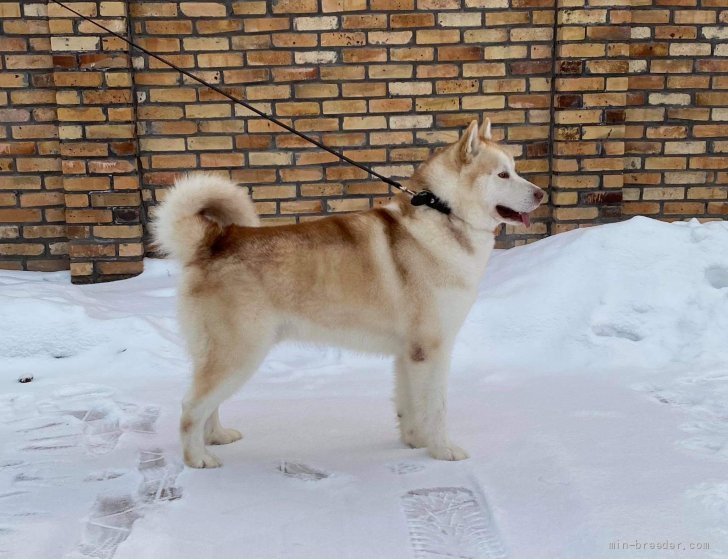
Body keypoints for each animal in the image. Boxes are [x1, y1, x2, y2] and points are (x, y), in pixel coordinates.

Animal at [155, 120, 540, 470]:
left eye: (516, 169)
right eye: (503, 175)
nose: (540, 194)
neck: (445, 214)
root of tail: (216, 239)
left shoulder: (407, 353)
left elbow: (409, 405)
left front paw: (414, 442)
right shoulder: (431, 350)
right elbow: (436, 407)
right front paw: (442, 450)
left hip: (226, 356)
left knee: (208, 404)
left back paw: (217, 437)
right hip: (240, 353)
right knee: (190, 407)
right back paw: (197, 458)